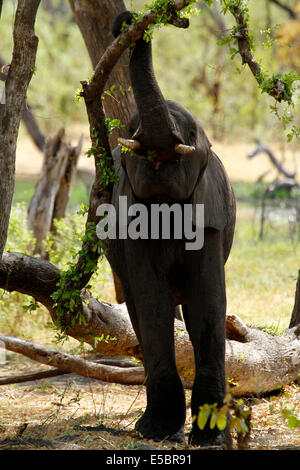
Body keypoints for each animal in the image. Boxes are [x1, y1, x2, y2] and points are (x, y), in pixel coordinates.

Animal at [105, 9, 237, 446]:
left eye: (191, 136)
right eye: (132, 131)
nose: (127, 19)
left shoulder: (209, 217)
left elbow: (208, 303)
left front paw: (210, 436)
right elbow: (152, 302)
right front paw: (158, 431)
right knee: (137, 313)